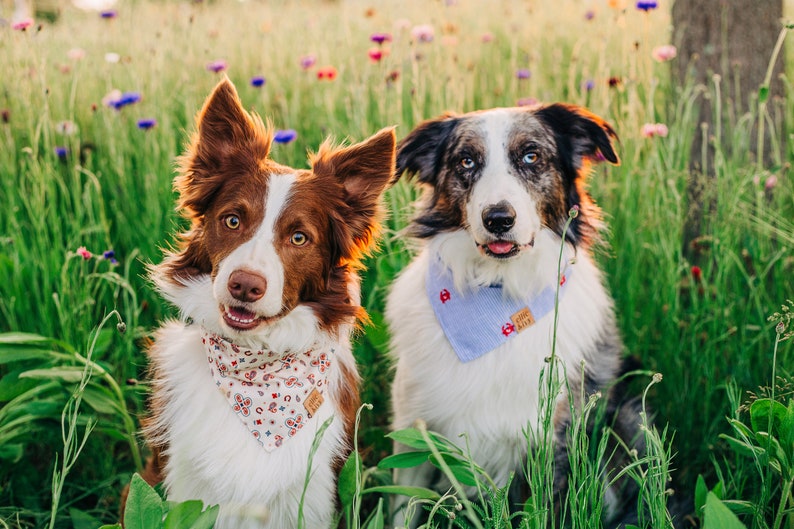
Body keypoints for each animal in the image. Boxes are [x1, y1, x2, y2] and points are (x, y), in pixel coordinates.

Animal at [143, 78, 396, 528]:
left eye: (299, 237)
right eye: (232, 220)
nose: (245, 285)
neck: (256, 369)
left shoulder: (312, 496)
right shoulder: (183, 486)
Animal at [386, 103, 640, 524]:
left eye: (531, 156)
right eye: (466, 161)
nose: (498, 219)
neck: (499, 297)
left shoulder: (548, 443)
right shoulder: (413, 431)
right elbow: (402, 506)